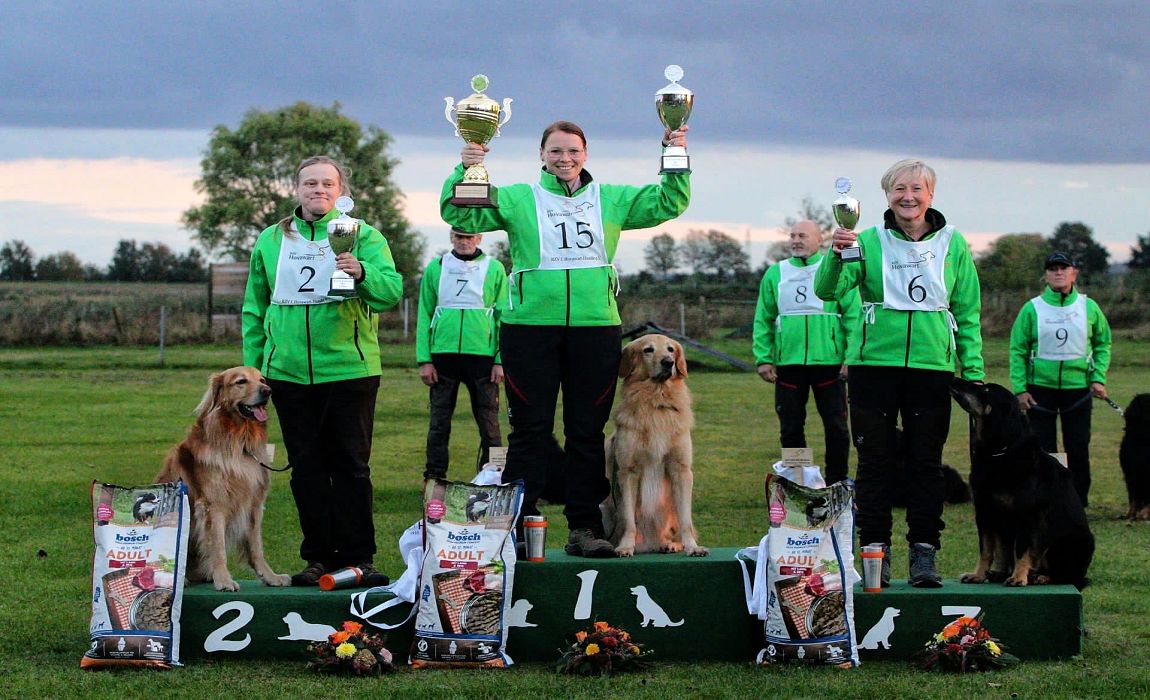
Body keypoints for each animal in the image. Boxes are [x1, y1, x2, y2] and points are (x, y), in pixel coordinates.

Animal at [952, 377, 1094, 588]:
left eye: (985, 390)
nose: (954, 379)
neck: (1001, 452)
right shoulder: (985, 513)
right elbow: (985, 549)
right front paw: (978, 574)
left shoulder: (1026, 516)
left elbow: (1021, 551)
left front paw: (1018, 577)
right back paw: (999, 573)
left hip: (1070, 541)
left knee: (1068, 576)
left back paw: (1041, 577)